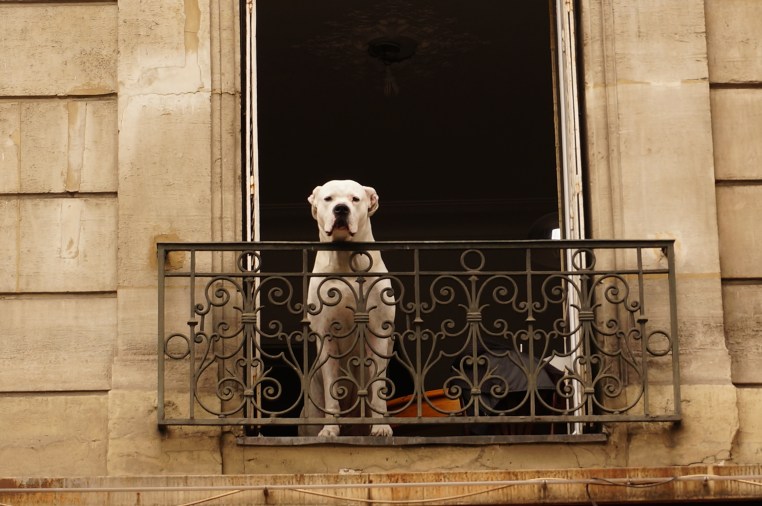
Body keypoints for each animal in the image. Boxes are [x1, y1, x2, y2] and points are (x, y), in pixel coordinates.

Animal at [302, 179, 395, 437]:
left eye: (355, 199)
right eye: (328, 199)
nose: (341, 209)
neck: (345, 261)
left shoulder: (379, 331)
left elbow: (377, 384)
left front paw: (382, 426)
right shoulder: (326, 335)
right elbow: (332, 385)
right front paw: (330, 429)